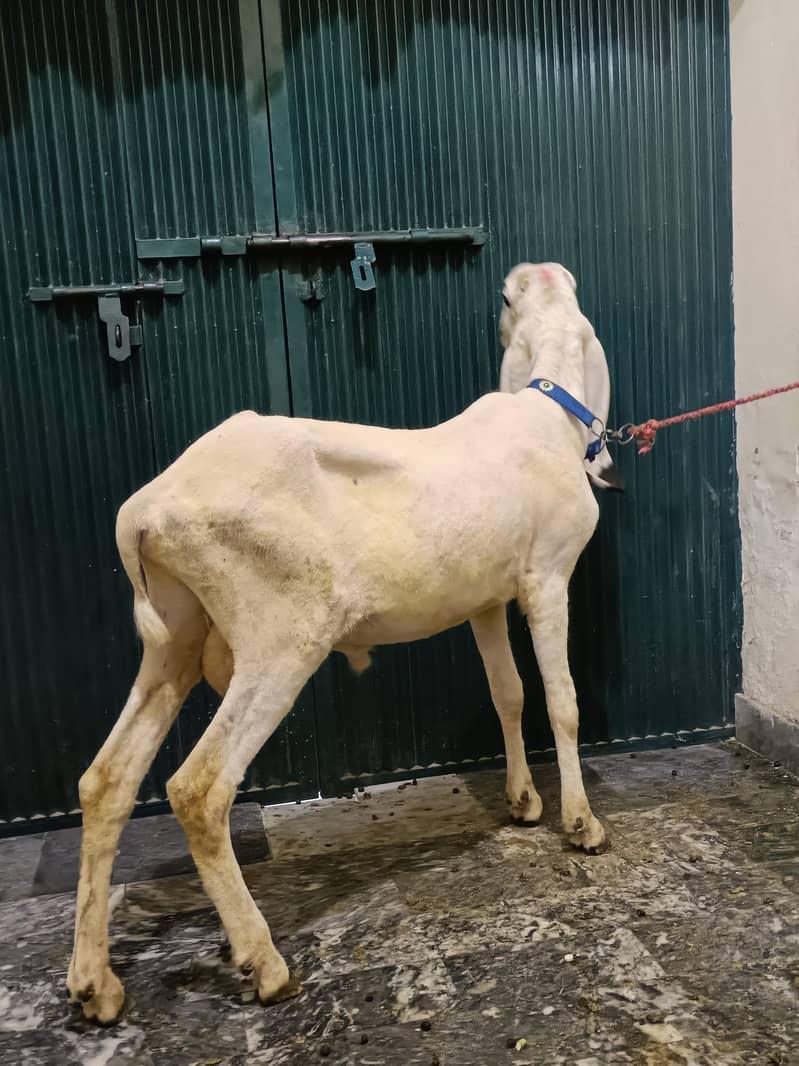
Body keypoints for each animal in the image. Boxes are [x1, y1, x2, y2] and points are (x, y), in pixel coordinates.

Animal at [67, 261, 619, 1024]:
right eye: (508, 298)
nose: (519, 275)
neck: (549, 410)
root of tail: (144, 510)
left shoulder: (482, 600)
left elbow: (506, 695)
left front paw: (521, 802)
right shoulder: (546, 578)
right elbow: (560, 703)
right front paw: (580, 823)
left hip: (174, 637)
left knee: (107, 781)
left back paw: (95, 983)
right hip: (281, 636)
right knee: (198, 788)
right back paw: (264, 962)